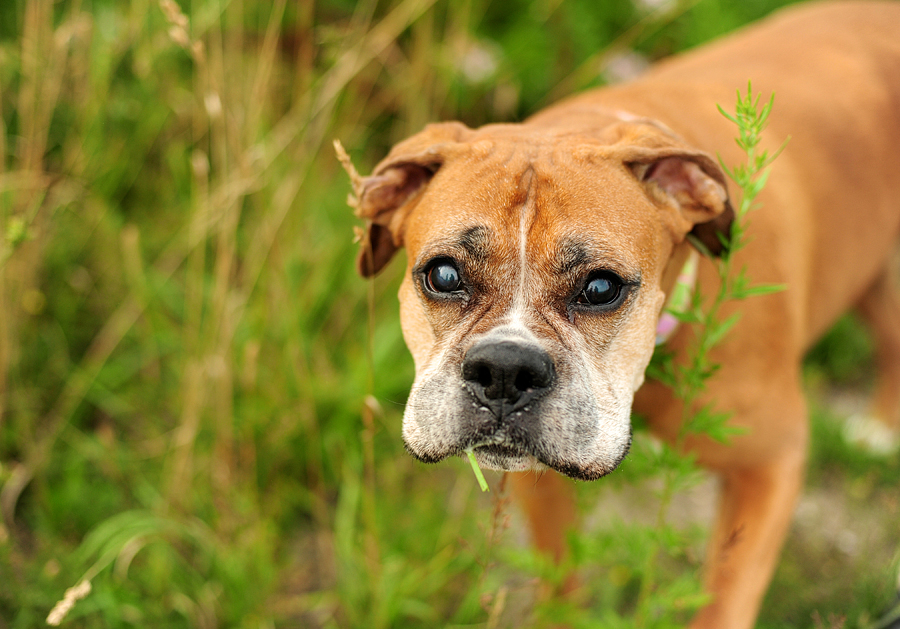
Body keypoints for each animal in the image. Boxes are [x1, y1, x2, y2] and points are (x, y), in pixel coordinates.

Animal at [346, 3, 900, 624]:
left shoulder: (768, 463)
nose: (505, 369)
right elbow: (560, 581)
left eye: (601, 287)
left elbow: (724, 596)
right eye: (443, 276)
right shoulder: (539, 486)